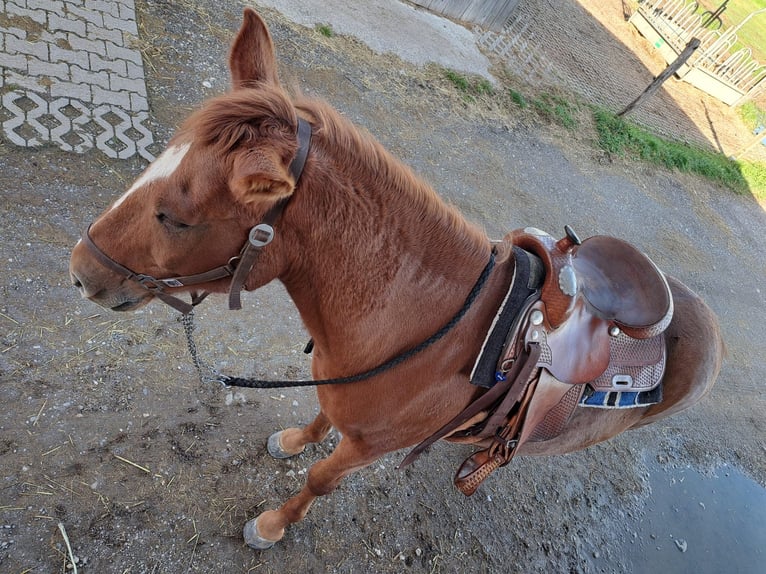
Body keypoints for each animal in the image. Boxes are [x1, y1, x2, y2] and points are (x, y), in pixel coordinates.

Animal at [69, 6, 724, 552]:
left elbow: (319, 480)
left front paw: (273, 525)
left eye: (175, 218)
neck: (418, 325)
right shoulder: (341, 398)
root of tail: (709, 323)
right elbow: (320, 421)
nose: (80, 271)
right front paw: (295, 439)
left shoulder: (369, 448)